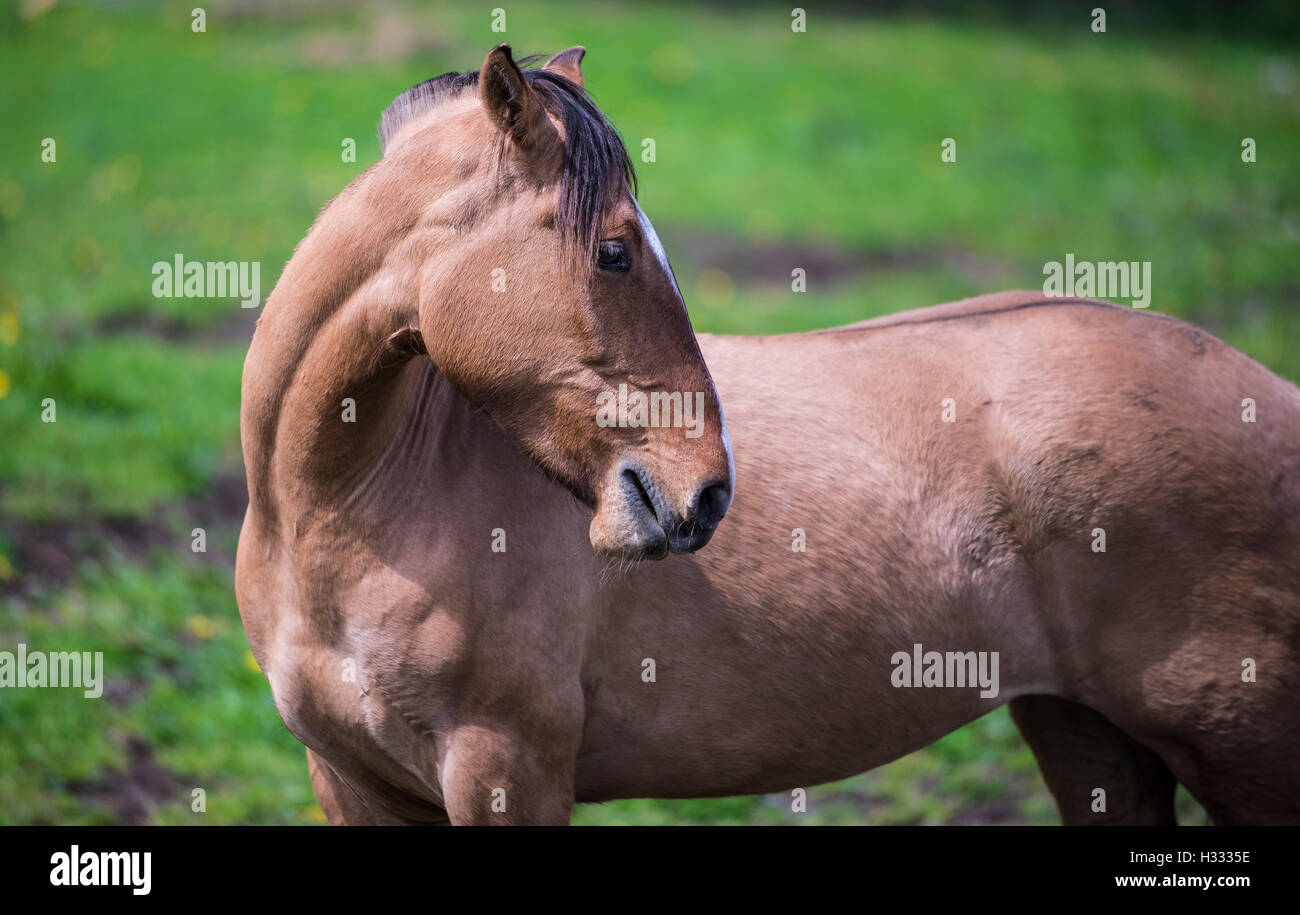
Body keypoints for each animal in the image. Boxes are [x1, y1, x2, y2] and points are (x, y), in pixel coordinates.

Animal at [236, 44, 1300, 825]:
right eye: (614, 252)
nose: (706, 493)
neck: (346, 512)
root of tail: (1269, 396)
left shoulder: (505, 772)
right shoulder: (354, 782)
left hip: (1239, 746)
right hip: (1085, 733)